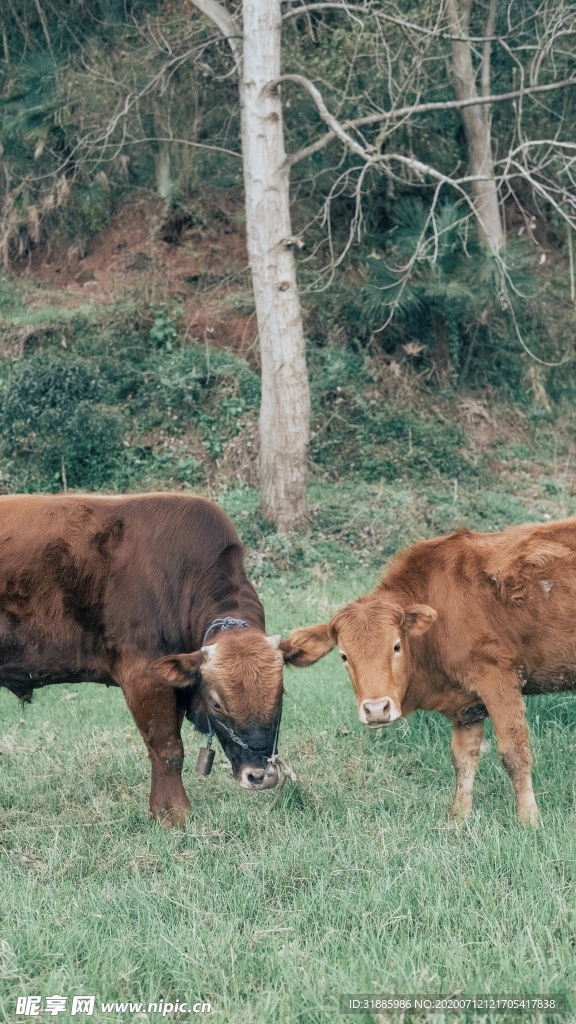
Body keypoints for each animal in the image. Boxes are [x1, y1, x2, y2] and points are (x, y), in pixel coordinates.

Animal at [0, 493, 282, 823]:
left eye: (281, 695)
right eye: (216, 703)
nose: (259, 775)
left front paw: (161, 809)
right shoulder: (144, 675)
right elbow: (168, 749)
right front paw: (177, 815)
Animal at [280, 520, 576, 823]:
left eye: (396, 646)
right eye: (343, 656)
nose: (376, 709)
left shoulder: (499, 680)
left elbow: (514, 753)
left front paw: (529, 819)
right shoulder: (467, 704)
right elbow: (463, 758)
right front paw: (459, 818)